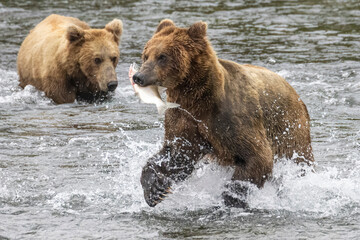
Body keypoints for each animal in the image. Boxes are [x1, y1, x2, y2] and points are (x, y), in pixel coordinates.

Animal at [134, 19, 314, 207]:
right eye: (146, 55)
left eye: (162, 56)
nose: (138, 76)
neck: (197, 99)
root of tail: (294, 91)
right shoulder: (183, 116)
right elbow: (178, 153)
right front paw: (155, 190)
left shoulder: (230, 116)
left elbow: (257, 156)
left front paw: (230, 198)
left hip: (289, 129)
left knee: (298, 160)